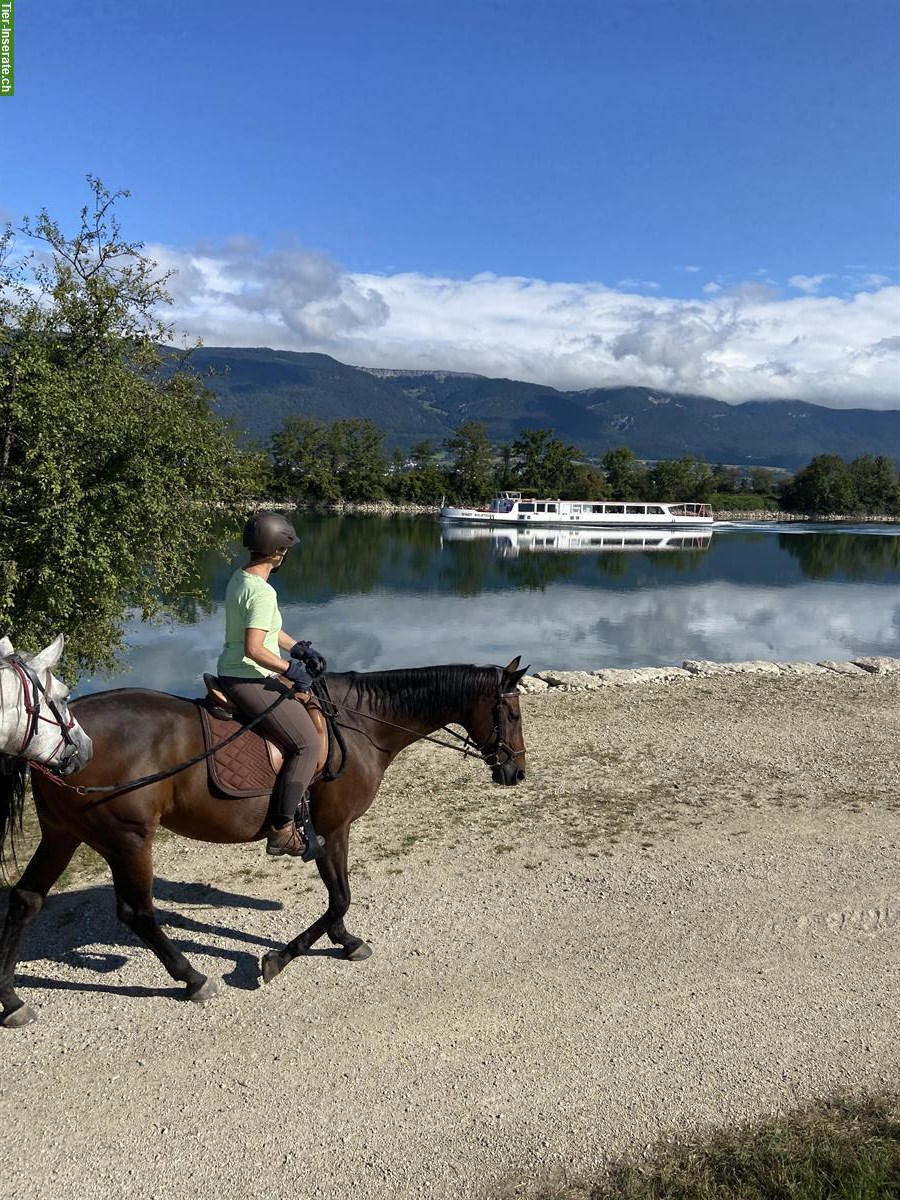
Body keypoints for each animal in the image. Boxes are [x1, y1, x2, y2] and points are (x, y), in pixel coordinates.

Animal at [0, 643, 528, 1027]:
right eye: (514, 715)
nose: (517, 772)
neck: (358, 725)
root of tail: (66, 745)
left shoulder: (331, 830)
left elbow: (339, 897)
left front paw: (343, 940)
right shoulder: (332, 827)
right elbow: (339, 896)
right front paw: (282, 957)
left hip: (64, 834)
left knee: (27, 900)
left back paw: (12, 999)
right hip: (128, 839)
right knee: (137, 913)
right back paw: (192, 978)